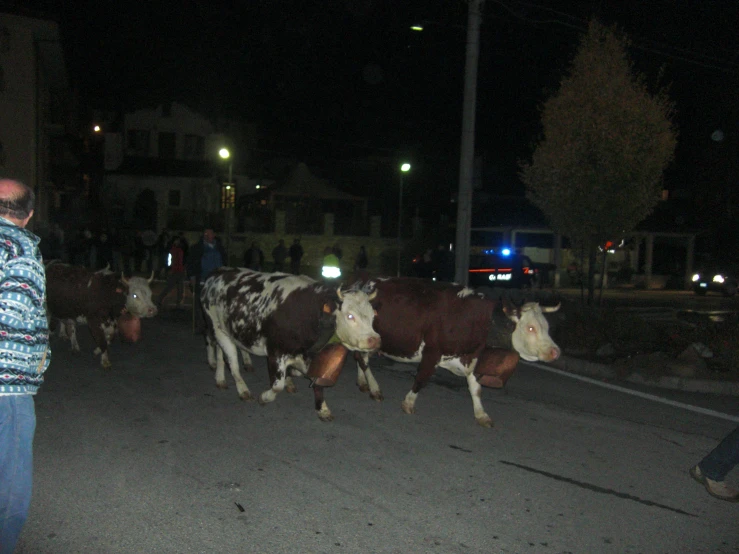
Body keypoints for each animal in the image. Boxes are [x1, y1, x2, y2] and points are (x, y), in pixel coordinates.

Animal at [201, 266, 382, 418]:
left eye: (373, 316)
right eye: (350, 316)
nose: (374, 340)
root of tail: (216, 273)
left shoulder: (310, 355)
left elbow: (316, 381)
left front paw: (322, 408)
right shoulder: (275, 352)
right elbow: (277, 386)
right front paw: (264, 397)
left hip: (225, 330)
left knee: (221, 352)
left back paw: (220, 378)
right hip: (216, 327)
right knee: (231, 361)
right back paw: (242, 389)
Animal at [354, 276, 560, 426]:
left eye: (547, 327)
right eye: (531, 328)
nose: (555, 351)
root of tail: (360, 283)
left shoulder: (472, 357)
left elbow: (476, 389)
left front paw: (481, 415)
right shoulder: (432, 351)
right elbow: (421, 379)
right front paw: (408, 403)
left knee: (361, 358)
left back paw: (363, 384)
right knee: (362, 360)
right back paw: (375, 389)